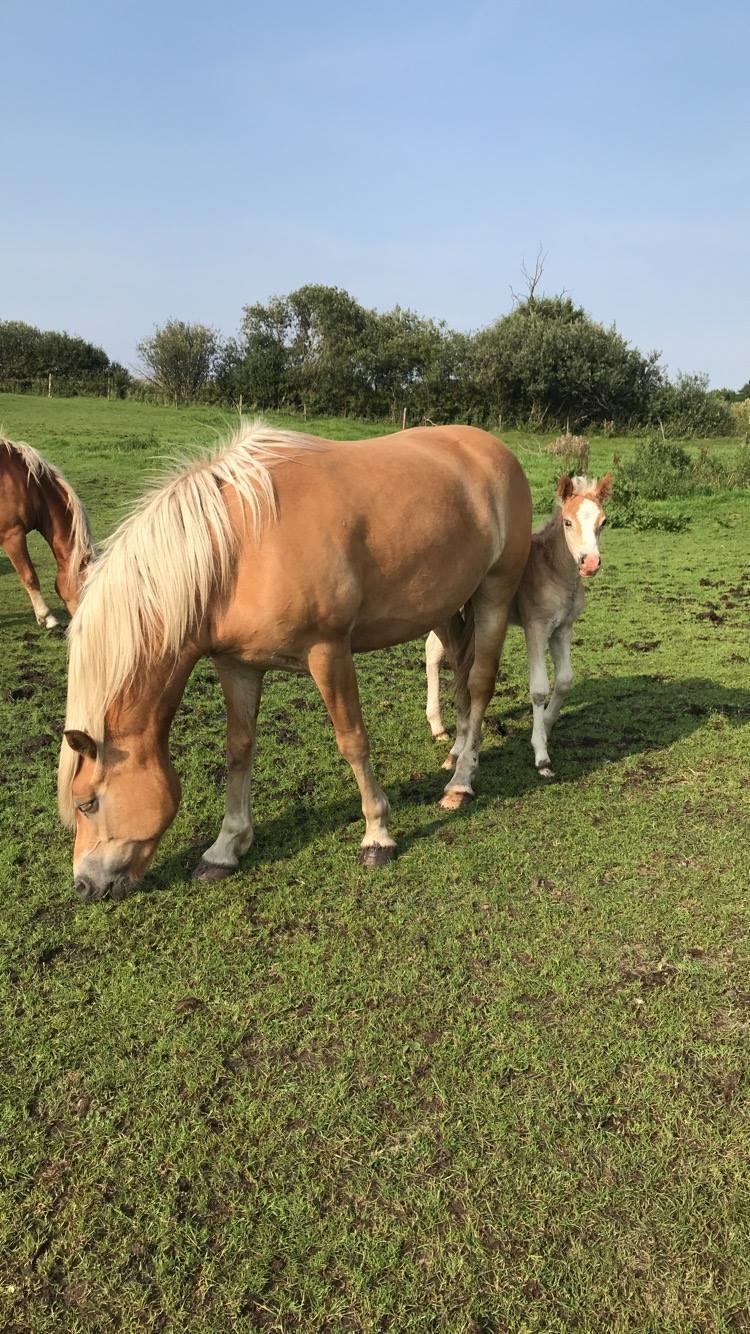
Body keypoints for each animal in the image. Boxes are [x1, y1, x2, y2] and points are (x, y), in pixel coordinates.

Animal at [58, 421, 528, 901]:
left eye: (87, 803)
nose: (83, 885)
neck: (238, 548)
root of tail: (492, 448)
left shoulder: (329, 652)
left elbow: (352, 741)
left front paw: (377, 835)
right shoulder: (237, 665)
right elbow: (239, 750)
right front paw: (225, 848)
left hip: (494, 593)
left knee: (479, 683)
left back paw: (461, 783)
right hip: (447, 607)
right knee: (460, 677)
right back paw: (456, 753)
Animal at [427, 472, 608, 779]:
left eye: (603, 522)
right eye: (567, 522)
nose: (590, 563)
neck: (554, 571)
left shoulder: (563, 629)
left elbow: (564, 681)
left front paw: (545, 727)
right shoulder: (536, 628)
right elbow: (539, 688)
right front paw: (542, 756)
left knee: (435, 651)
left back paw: (439, 729)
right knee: (433, 653)